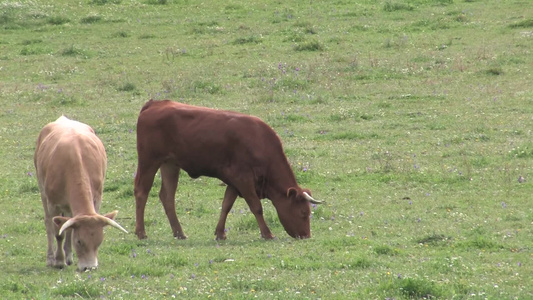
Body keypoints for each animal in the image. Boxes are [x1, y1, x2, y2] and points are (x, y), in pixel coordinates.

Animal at [34, 116, 128, 270]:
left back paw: (69, 256)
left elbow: (68, 228)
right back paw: (50, 257)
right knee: (48, 223)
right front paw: (58, 260)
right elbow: (58, 233)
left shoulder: (97, 199)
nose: (90, 267)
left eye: (100, 241)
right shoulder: (53, 203)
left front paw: (67, 257)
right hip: (43, 191)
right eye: (79, 241)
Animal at [135, 99, 322, 240]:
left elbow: (226, 205)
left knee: (167, 197)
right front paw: (267, 234)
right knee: (141, 192)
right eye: (304, 212)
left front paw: (220, 233)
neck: (259, 143)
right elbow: (256, 206)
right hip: (148, 162)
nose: (306, 235)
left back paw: (179, 233)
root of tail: (155, 104)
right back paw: (141, 232)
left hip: (170, 165)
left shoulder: (234, 182)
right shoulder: (243, 179)